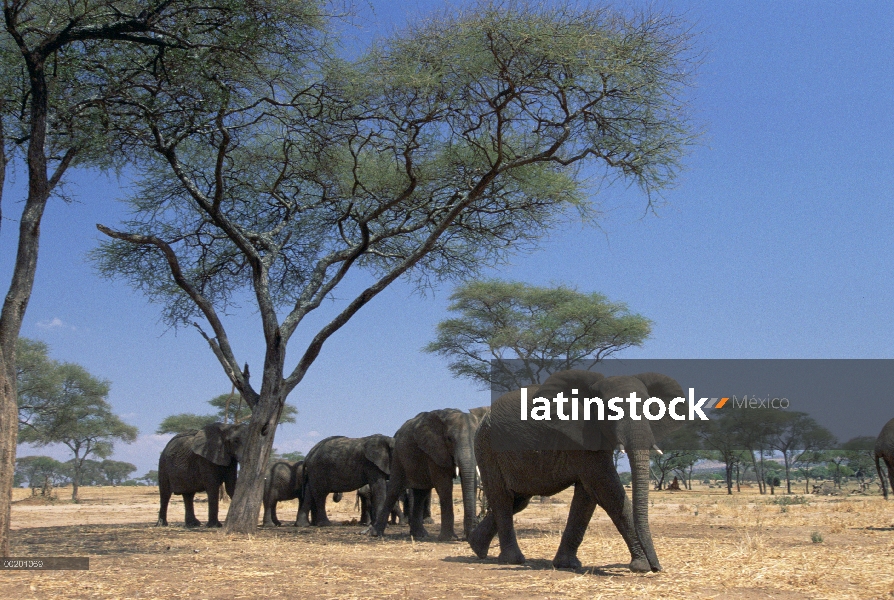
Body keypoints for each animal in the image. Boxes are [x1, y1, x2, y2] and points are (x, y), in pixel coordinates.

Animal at [370, 408, 486, 540]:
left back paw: (420, 535)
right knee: (395, 489)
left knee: (421, 493)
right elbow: (444, 486)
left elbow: (472, 483)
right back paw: (376, 533)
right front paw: (448, 538)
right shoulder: (434, 450)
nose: (467, 536)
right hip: (398, 456)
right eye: (449, 439)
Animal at [472, 370, 688, 572]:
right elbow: (605, 488)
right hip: (487, 447)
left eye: (652, 409)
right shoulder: (580, 438)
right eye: (611, 411)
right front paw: (642, 566)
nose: (657, 567)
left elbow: (587, 497)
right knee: (503, 498)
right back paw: (512, 560)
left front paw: (566, 565)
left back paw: (477, 547)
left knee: (518, 500)